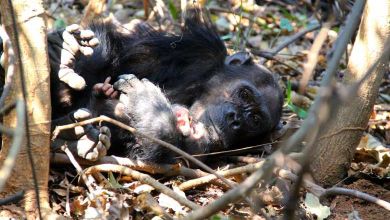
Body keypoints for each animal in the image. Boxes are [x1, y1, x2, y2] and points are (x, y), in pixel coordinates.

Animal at [6, 8, 284, 163]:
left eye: (254, 120)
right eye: (245, 94)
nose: (235, 118)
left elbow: (174, 152)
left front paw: (149, 105)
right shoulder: (195, 48)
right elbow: (116, 55)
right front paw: (72, 54)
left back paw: (80, 138)